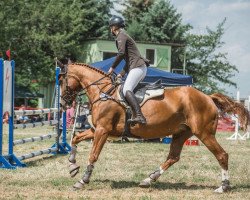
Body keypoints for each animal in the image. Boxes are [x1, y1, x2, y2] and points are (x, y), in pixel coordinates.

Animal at [58, 62, 248, 192]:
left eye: (61, 80)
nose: (63, 104)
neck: (104, 91)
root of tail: (208, 97)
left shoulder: (102, 131)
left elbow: (93, 155)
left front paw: (82, 180)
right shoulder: (96, 129)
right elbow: (75, 138)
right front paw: (72, 166)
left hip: (204, 133)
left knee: (222, 155)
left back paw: (223, 186)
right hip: (181, 133)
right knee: (173, 157)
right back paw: (148, 179)